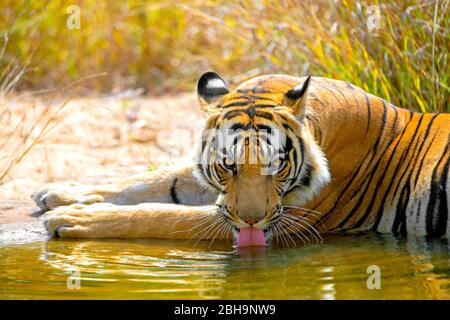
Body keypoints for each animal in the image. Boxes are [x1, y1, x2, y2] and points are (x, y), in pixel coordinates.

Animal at [34, 72, 450, 248]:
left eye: (277, 165)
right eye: (228, 165)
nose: (252, 221)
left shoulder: (289, 219)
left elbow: (162, 214)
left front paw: (74, 218)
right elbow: (153, 180)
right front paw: (58, 192)